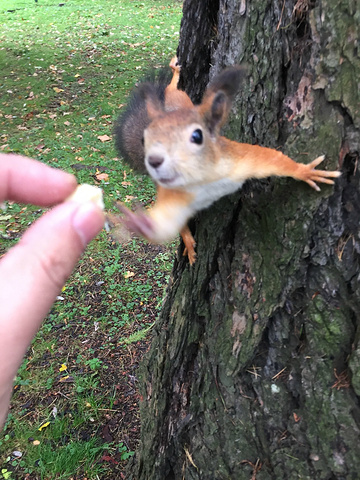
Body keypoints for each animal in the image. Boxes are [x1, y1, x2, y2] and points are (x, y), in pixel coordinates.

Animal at [114, 61, 342, 264]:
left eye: (197, 136)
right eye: (144, 139)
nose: (153, 160)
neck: (203, 181)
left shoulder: (238, 160)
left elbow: (270, 159)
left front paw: (306, 172)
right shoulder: (175, 196)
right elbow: (166, 225)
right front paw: (139, 223)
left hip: (182, 99)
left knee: (174, 89)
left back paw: (174, 72)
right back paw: (188, 242)